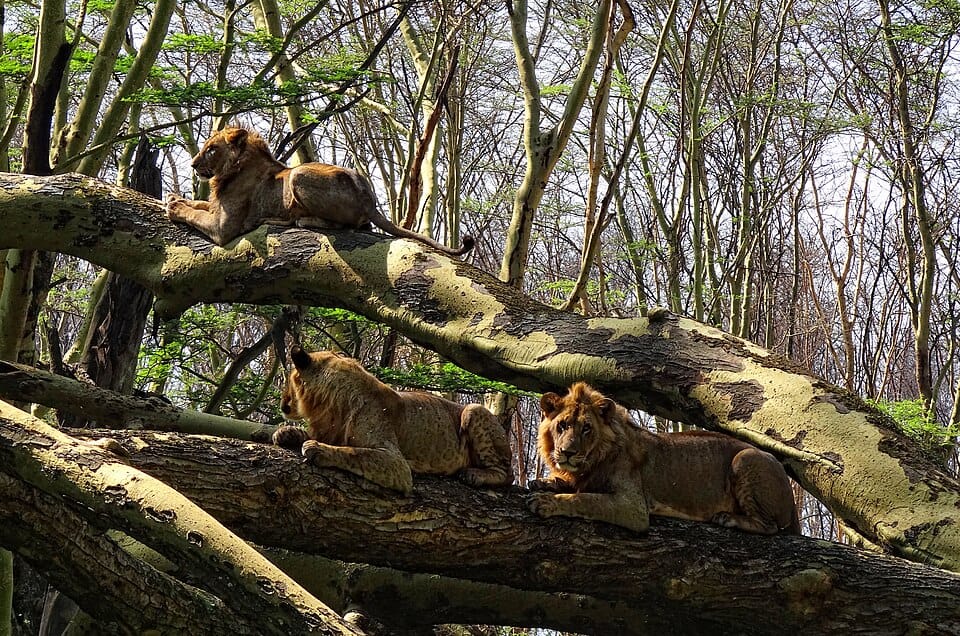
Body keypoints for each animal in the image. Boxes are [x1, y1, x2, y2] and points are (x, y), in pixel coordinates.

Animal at [166, 127, 474, 256]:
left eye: (211, 149)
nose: (193, 164)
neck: (231, 169)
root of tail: (369, 199)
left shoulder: (224, 228)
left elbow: (196, 215)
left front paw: (174, 206)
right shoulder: (216, 208)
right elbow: (199, 205)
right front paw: (175, 197)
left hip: (299, 174)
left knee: (344, 225)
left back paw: (295, 220)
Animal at [270, 345, 513, 494]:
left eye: (288, 379)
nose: (283, 402)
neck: (329, 405)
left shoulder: (396, 463)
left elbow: (355, 453)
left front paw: (317, 448)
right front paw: (286, 432)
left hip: (474, 410)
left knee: (506, 474)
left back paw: (474, 475)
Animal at [528, 382, 799, 535]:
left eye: (586, 428)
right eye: (562, 426)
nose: (568, 452)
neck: (593, 460)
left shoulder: (633, 507)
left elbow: (584, 499)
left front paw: (547, 502)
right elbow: (571, 485)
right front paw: (544, 482)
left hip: (745, 457)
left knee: (770, 527)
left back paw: (728, 518)